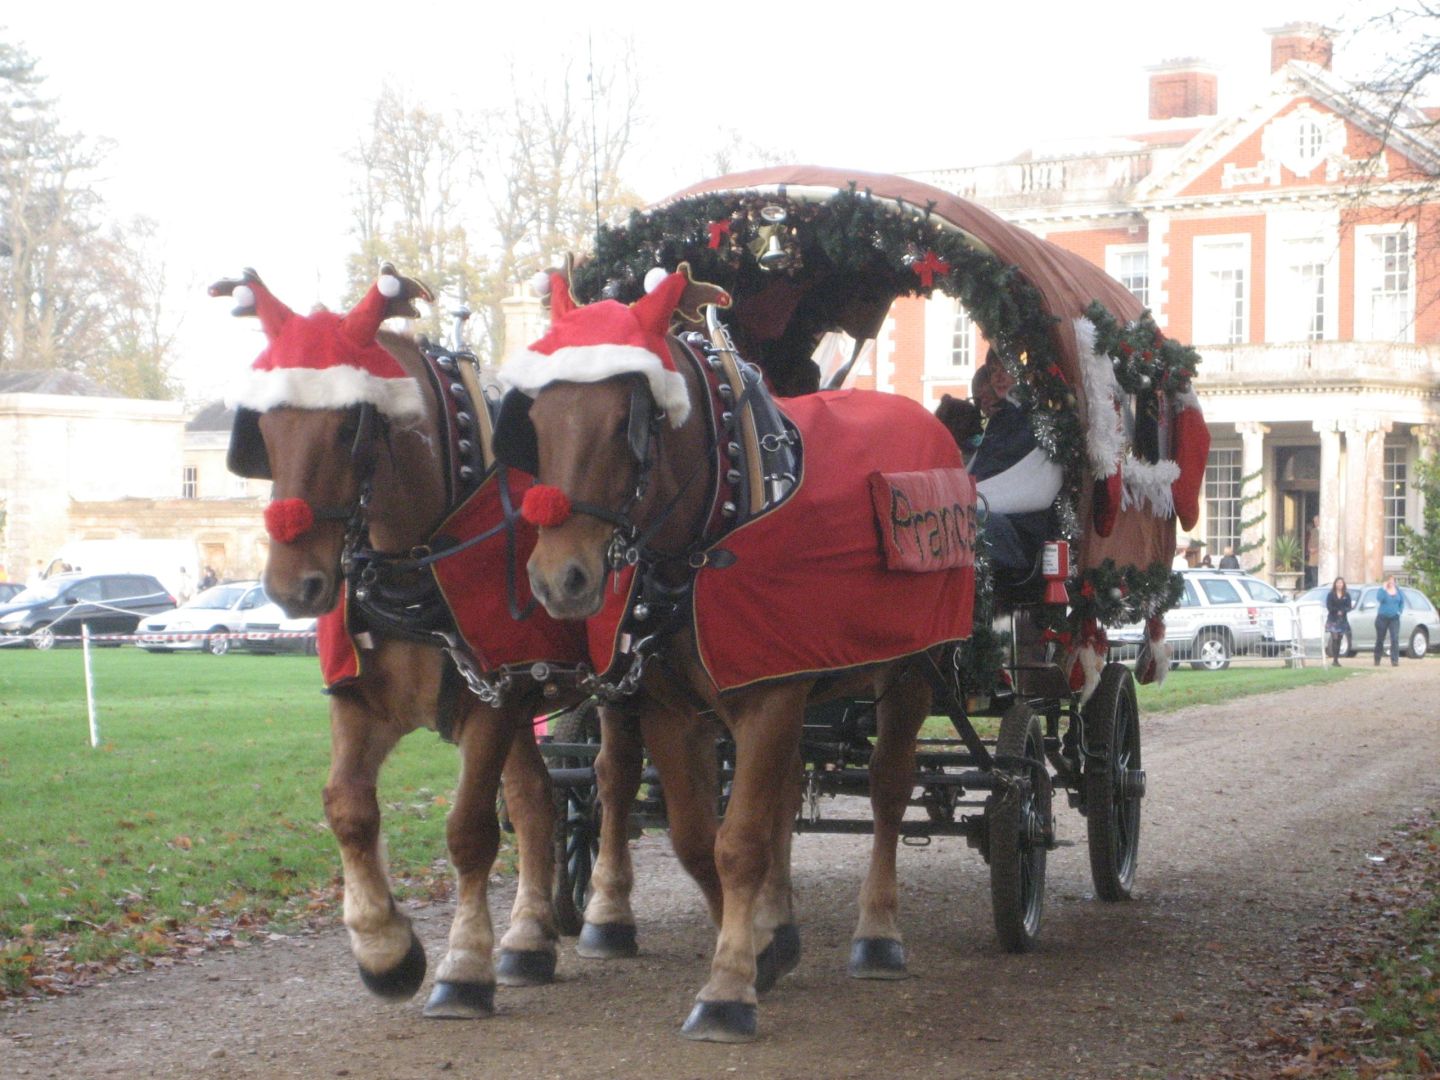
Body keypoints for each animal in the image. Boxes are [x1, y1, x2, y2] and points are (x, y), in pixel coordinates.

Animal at [212, 265, 594, 1019]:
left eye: (348, 424)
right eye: (263, 428)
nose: (290, 586)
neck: (414, 557)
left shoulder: (492, 702)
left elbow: (469, 831)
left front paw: (463, 967)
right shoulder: (366, 701)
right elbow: (348, 809)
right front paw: (384, 948)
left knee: (617, 791)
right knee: (538, 803)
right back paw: (530, 938)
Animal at [497, 267, 978, 1041]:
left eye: (627, 423)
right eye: (535, 422)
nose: (556, 579)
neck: (718, 516)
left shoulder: (769, 692)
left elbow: (740, 841)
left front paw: (728, 985)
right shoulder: (678, 705)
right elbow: (701, 840)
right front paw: (755, 946)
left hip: (911, 669)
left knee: (887, 790)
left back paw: (878, 932)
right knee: (776, 794)